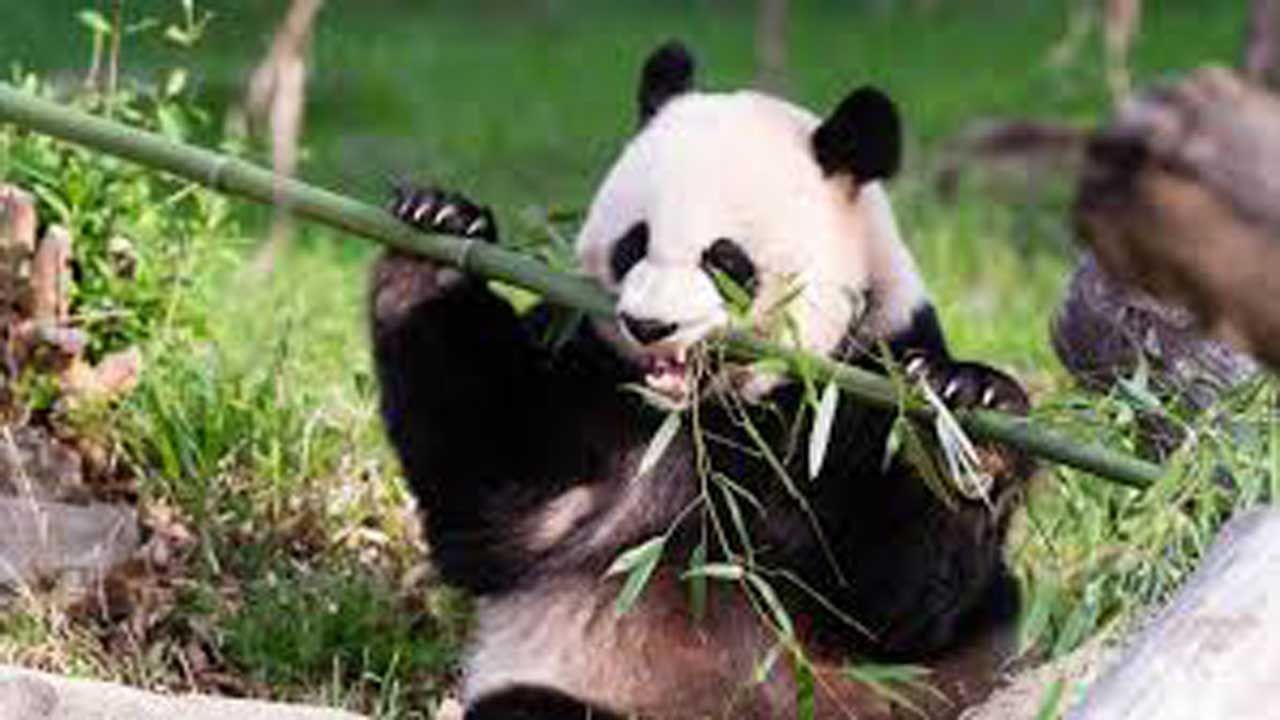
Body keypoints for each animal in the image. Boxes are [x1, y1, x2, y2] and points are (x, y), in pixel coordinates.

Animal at [371, 41, 1033, 720]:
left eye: (724, 261)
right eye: (632, 245)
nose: (647, 325)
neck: (712, 412)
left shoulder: (871, 366)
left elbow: (895, 601)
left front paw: (964, 416)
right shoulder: (587, 373)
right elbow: (498, 505)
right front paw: (437, 235)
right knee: (527, 707)